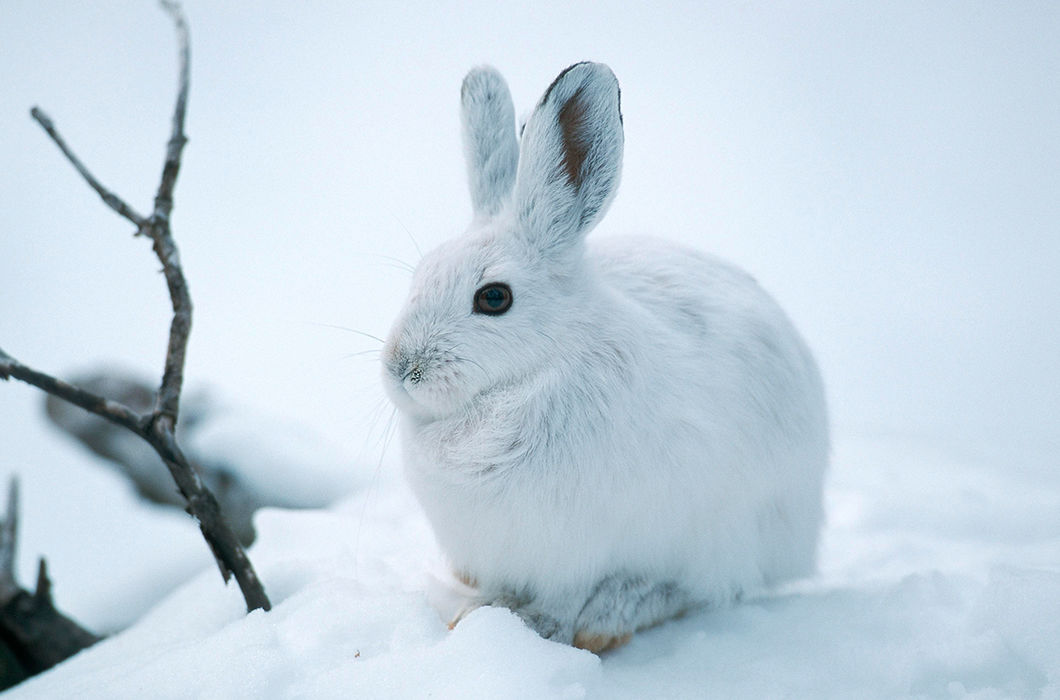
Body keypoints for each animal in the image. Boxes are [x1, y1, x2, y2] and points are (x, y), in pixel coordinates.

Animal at [381, 62, 826, 653]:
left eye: (494, 298)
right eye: (420, 274)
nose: (401, 369)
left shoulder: (583, 548)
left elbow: (567, 598)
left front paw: (540, 626)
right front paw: (477, 611)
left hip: (728, 535)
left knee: (697, 589)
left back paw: (615, 613)